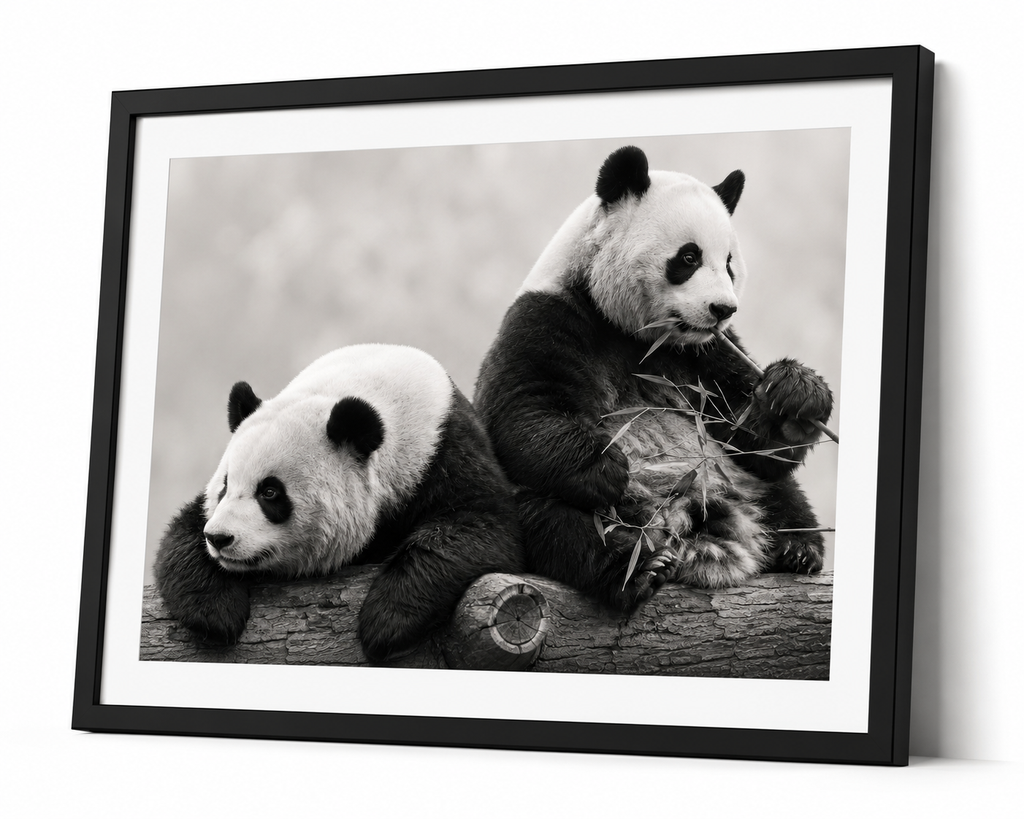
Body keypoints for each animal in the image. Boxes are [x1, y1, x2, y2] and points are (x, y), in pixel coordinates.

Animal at [155, 343, 523, 661]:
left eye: (270, 492)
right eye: (225, 486)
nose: (219, 538)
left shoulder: (444, 454)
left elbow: (480, 526)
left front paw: (386, 621)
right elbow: (184, 531)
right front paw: (214, 612)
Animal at [474, 145, 833, 611]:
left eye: (729, 264)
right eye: (688, 257)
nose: (723, 309)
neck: (637, 334)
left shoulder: (704, 353)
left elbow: (750, 437)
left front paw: (797, 394)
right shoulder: (550, 317)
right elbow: (522, 411)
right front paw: (605, 463)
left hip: (738, 482)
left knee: (779, 491)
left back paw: (796, 548)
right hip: (575, 510)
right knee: (553, 520)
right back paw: (638, 567)